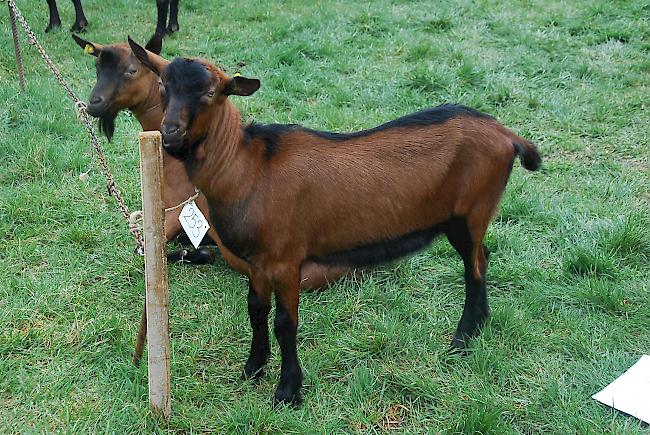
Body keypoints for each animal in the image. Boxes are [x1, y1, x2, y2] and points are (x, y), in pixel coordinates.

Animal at [129, 36, 540, 406]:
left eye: (212, 92)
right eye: (163, 85)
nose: (170, 133)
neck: (248, 169)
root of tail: (508, 135)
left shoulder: (286, 260)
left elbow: (285, 324)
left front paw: (288, 392)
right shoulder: (257, 263)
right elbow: (256, 312)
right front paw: (252, 370)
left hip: (470, 212)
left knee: (475, 266)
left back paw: (462, 339)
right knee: (482, 258)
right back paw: (478, 327)